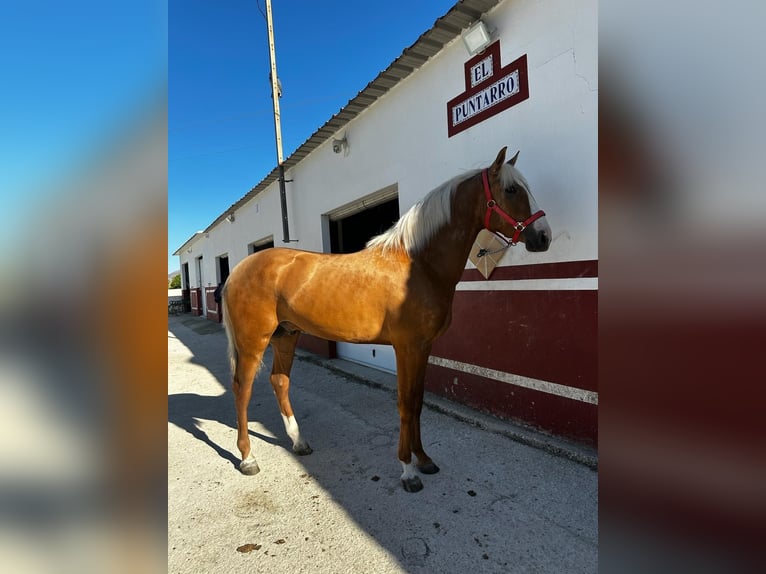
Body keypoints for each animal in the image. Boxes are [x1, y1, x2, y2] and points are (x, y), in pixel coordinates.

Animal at [222, 146, 552, 492]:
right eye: (511, 190)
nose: (543, 237)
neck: (419, 264)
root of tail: (238, 270)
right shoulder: (406, 348)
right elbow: (405, 404)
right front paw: (408, 470)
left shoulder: (423, 348)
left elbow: (417, 403)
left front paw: (425, 460)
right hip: (253, 341)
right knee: (242, 389)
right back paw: (247, 458)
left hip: (287, 335)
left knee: (279, 381)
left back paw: (299, 442)